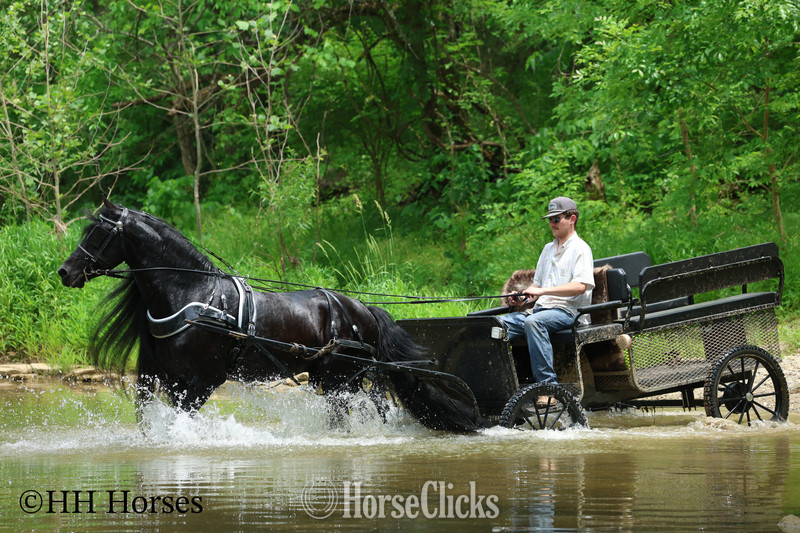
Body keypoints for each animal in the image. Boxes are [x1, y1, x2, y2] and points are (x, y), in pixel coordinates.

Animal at [58, 200, 479, 432]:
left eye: (97, 233)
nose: (65, 271)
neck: (194, 295)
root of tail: (363, 311)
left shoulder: (204, 381)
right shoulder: (158, 377)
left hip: (340, 382)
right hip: (337, 380)